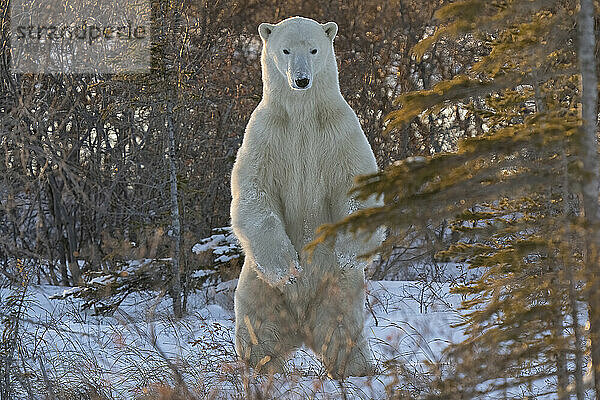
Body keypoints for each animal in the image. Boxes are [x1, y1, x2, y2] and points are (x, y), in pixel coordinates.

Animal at [232, 15, 382, 378]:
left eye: (313, 49)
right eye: (286, 50)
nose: (301, 80)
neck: (302, 115)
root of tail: (301, 325)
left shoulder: (341, 132)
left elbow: (357, 188)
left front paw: (346, 252)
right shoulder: (265, 135)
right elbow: (255, 193)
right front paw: (289, 269)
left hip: (339, 292)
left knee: (342, 333)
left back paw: (358, 370)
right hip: (257, 287)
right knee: (257, 333)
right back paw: (257, 368)